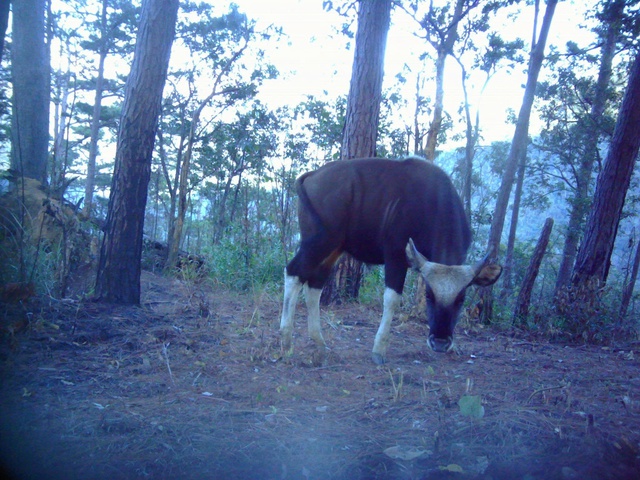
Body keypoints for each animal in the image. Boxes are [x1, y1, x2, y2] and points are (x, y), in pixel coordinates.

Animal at [280, 158, 500, 364]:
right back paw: (285, 341)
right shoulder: (395, 256)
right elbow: (392, 299)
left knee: (314, 284)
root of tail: (312, 175)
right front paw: (379, 350)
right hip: (319, 241)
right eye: (429, 296)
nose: (439, 342)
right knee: (293, 272)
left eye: (461, 299)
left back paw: (319, 342)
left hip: (334, 248)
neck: (432, 203)